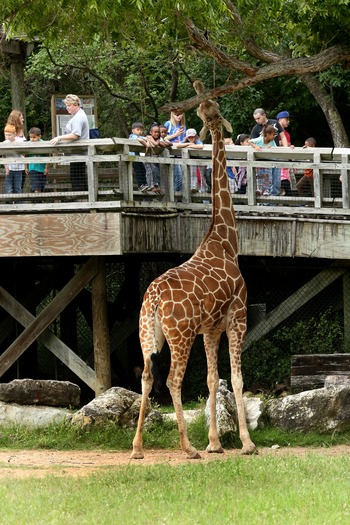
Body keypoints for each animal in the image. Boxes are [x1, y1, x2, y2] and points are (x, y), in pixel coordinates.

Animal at [130, 80, 256, 456]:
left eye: (206, 108)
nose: (207, 107)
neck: (226, 240)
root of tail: (154, 299)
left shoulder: (210, 329)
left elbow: (214, 379)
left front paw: (216, 442)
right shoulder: (237, 316)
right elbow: (237, 378)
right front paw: (246, 443)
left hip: (148, 333)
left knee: (146, 376)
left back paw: (137, 447)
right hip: (179, 334)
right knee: (172, 379)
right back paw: (188, 447)